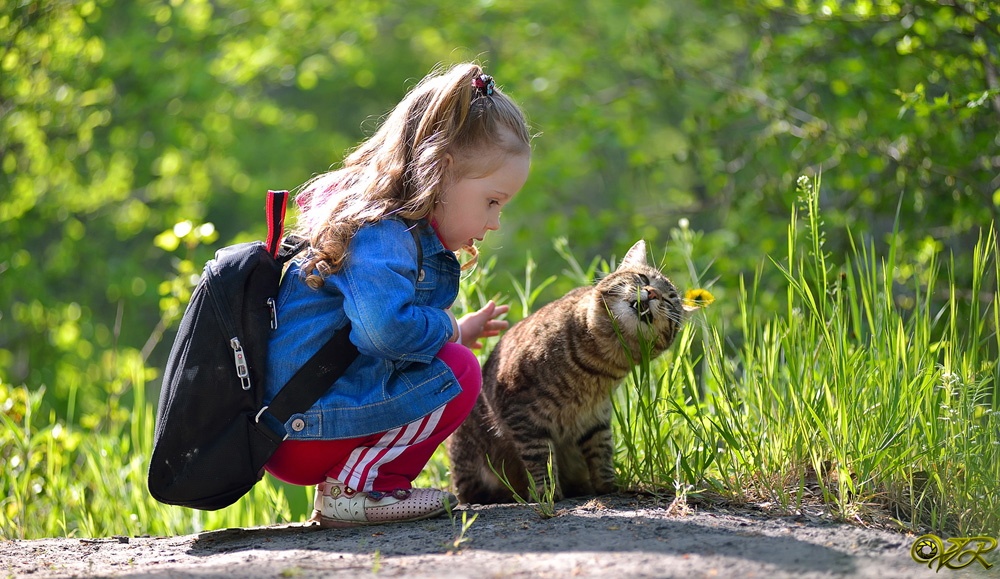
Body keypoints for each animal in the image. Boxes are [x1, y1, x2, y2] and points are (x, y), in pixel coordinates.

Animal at [448, 239, 696, 502]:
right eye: (643, 278)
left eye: (669, 299)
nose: (653, 293)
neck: (600, 363)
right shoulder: (520, 412)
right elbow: (540, 457)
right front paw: (548, 493)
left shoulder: (596, 416)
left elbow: (602, 451)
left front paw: (607, 486)